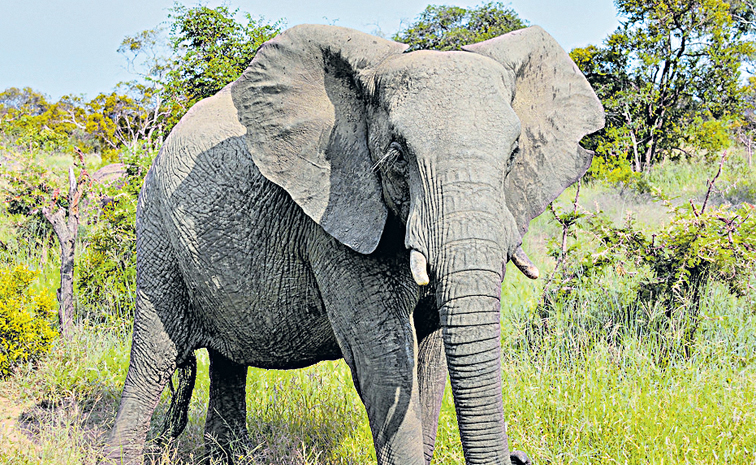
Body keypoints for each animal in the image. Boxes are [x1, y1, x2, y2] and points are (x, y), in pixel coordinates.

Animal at [104, 24, 604, 465]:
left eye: (515, 154)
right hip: (156, 231)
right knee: (153, 357)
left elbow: (433, 361)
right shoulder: (335, 214)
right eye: (398, 155)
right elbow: (385, 361)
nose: (520, 455)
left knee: (228, 360)